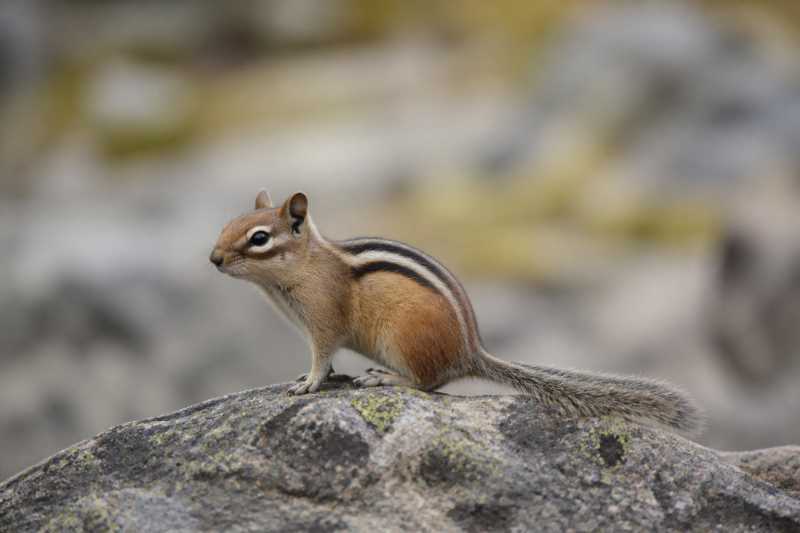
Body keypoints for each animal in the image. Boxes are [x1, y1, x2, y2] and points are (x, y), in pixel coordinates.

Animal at [210, 190, 703, 434]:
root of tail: (470, 351)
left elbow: (322, 354)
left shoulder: (324, 318)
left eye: (258, 238)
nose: (213, 259)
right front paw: (315, 378)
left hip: (403, 338)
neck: (304, 267)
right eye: (226, 226)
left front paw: (308, 384)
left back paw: (385, 378)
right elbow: (325, 360)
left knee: (426, 382)